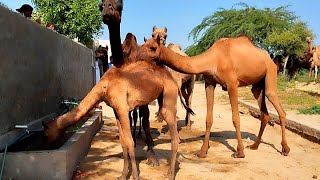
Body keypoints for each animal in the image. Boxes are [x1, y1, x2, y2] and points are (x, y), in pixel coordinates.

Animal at [43, 1, 181, 179]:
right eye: (100, 6)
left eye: (45, 132)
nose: (46, 144)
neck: (103, 86)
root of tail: (167, 73)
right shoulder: (116, 109)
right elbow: (122, 142)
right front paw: (122, 175)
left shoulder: (122, 107)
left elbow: (129, 141)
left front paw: (135, 176)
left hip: (170, 92)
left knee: (172, 132)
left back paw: (169, 173)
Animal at [139, 35, 292, 158]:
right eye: (143, 45)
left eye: (153, 47)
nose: (138, 56)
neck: (213, 59)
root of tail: (269, 58)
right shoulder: (209, 83)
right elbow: (209, 118)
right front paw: (202, 151)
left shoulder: (232, 84)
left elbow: (236, 118)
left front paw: (239, 152)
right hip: (257, 85)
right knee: (264, 112)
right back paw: (254, 145)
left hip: (270, 73)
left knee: (279, 108)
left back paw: (285, 148)